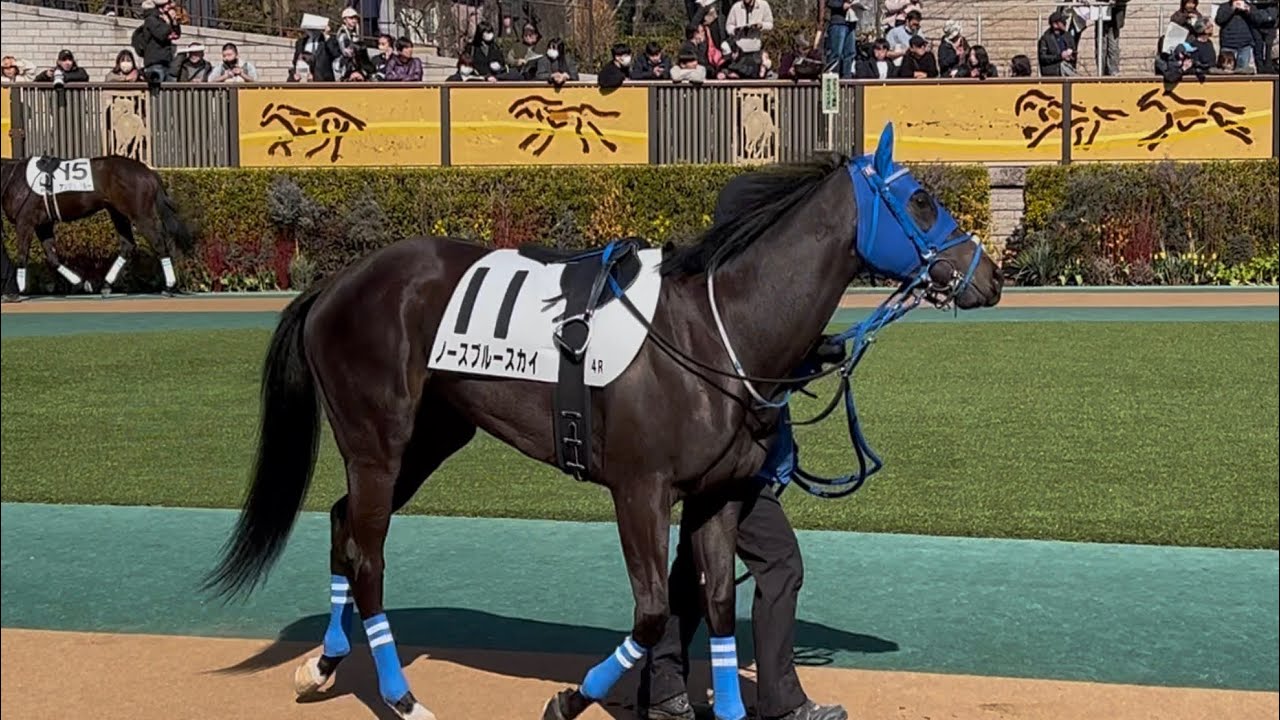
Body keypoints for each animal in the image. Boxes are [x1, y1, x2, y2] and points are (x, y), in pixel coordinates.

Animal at [0, 154, 192, 302]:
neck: (13, 178)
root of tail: (148, 172)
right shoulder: (43, 224)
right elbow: (52, 257)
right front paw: (79, 282)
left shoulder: (25, 222)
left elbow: (22, 255)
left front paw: (16, 290)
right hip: (117, 212)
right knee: (128, 245)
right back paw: (106, 285)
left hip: (141, 215)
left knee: (159, 243)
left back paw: (169, 286)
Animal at [202, 124, 1004, 720]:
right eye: (923, 199)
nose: (990, 276)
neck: (714, 331)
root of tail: (337, 282)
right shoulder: (639, 491)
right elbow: (652, 613)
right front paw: (570, 698)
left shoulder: (719, 495)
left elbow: (715, 605)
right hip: (379, 441)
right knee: (367, 553)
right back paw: (401, 697)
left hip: (430, 438)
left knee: (345, 525)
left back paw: (324, 665)